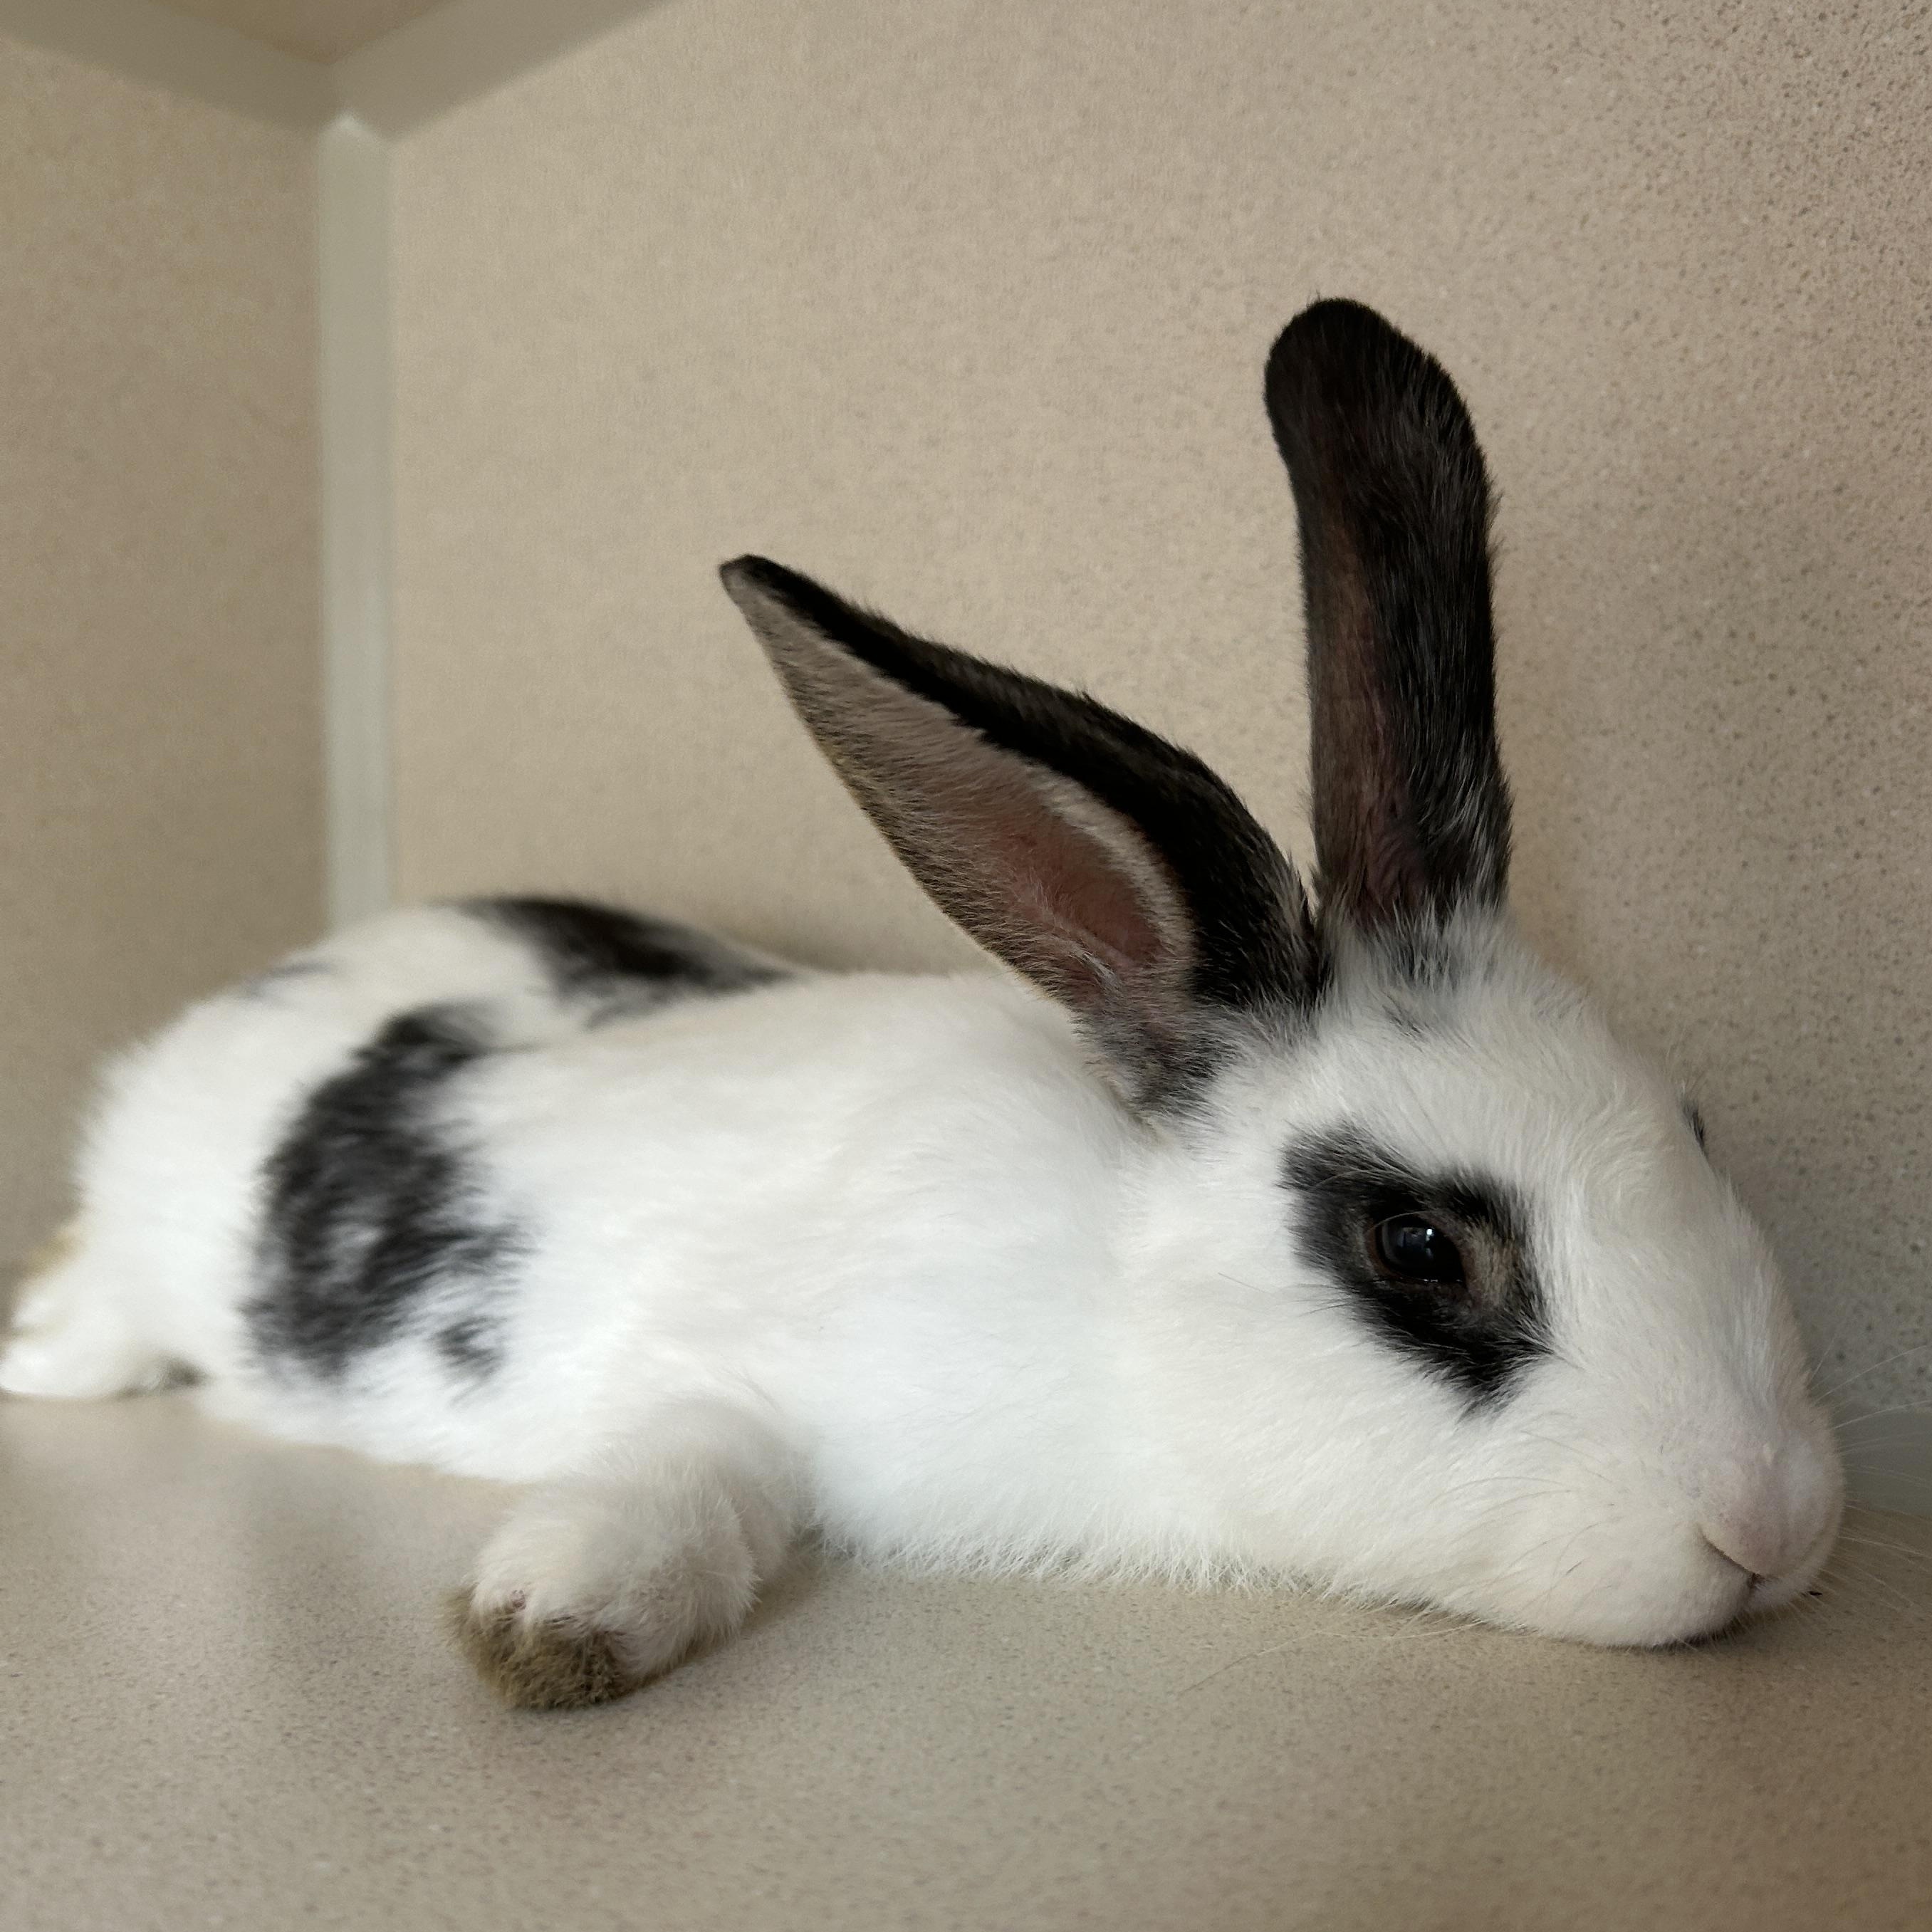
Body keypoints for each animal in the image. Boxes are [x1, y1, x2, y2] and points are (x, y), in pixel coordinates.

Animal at [1, 299, 1843, 1709]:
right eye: (1415, 1246)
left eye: (1695, 1127)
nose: (1770, 1529)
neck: (1110, 1302)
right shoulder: (729, 1383)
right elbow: (681, 1475)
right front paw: (547, 1628)